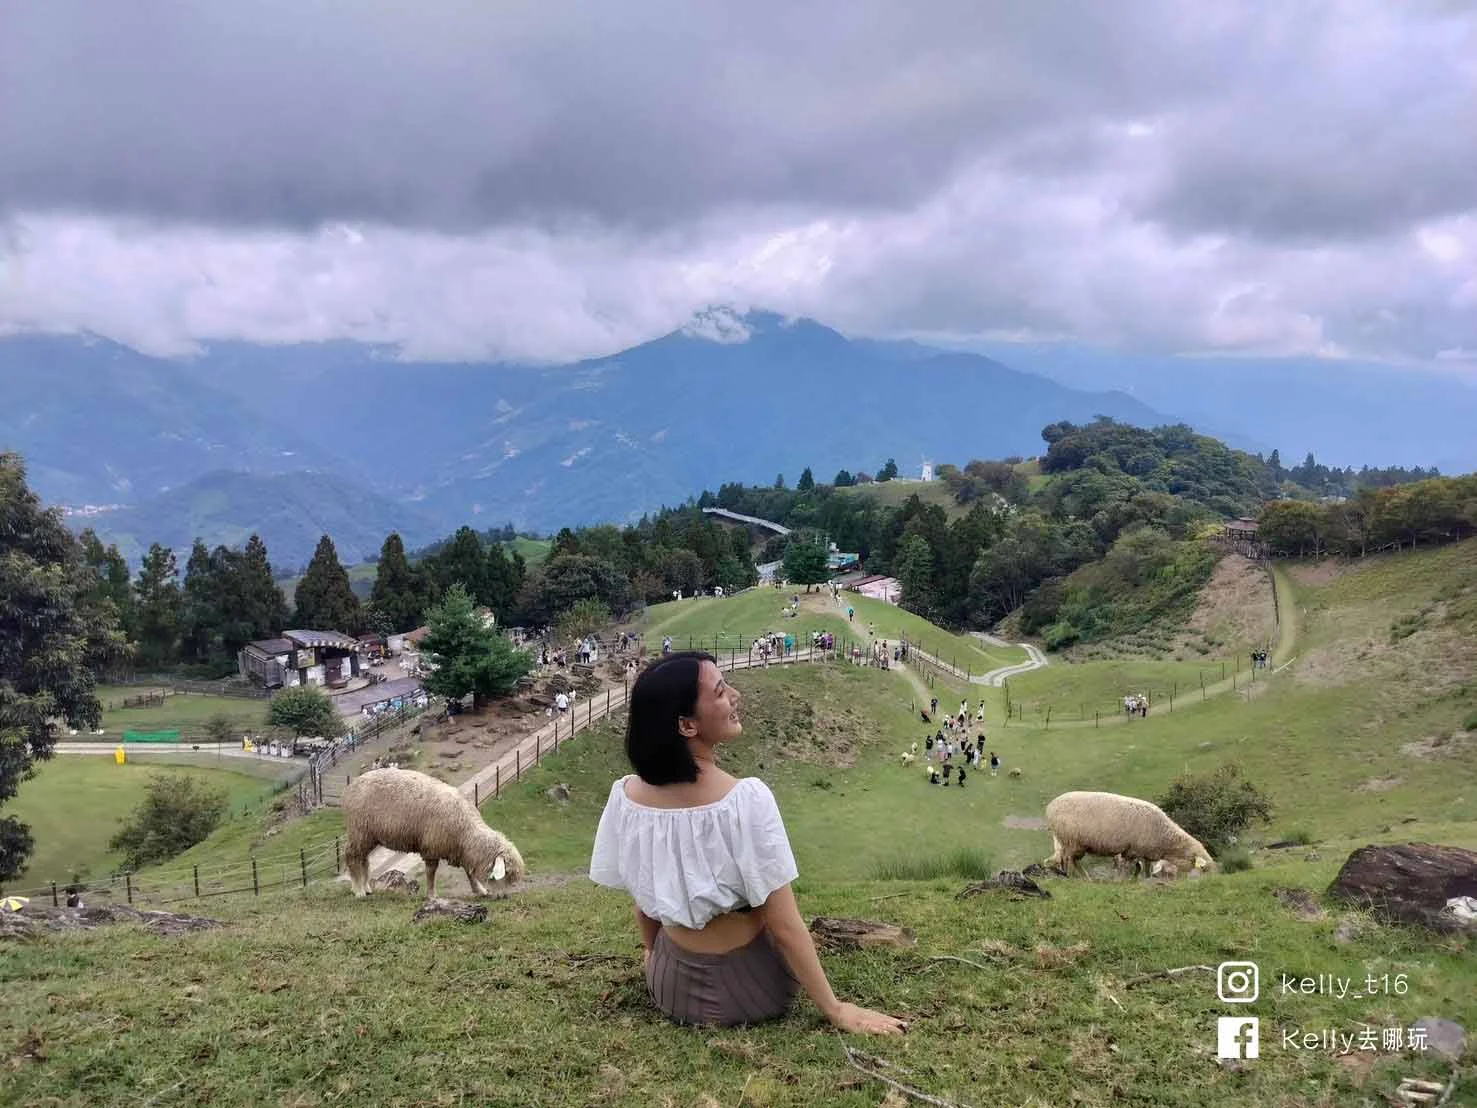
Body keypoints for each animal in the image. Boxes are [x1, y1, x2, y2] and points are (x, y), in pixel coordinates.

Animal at [342, 774, 528, 904]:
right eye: (505, 875)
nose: (504, 897)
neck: (466, 830)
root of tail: (353, 784)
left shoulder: (461, 850)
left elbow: (469, 873)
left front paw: (479, 890)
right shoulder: (432, 848)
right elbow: (431, 874)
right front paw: (432, 896)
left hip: (368, 834)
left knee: (363, 859)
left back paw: (366, 888)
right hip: (359, 829)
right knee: (351, 856)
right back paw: (358, 891)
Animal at [1039, 791, 1211, 880]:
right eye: (1203, 869)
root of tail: (1050, 806)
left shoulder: (1146, 852)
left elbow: (1145, 868)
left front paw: (1144, 879)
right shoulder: (1132, 850)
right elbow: (1130, 867)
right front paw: (1125, 880)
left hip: (1070, 842)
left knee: (1067, 859)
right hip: (1072, 841)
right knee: (1069, 860)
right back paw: (1079, 878)